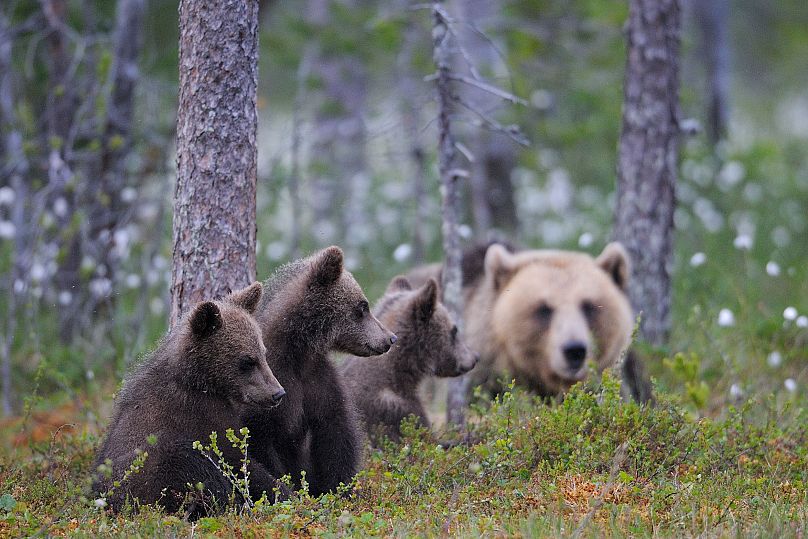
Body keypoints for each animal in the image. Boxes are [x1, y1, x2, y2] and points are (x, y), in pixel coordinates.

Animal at [93, 282, 288, 516]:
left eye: (263, 353)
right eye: (247, 361)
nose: (277, 393)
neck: (201, 382)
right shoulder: (199, 415)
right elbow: (237, 459)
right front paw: (285, 493)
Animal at [246, 247, 398, 500]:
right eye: (362, 307)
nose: (390, 338)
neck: (299, 353)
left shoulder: (318, 383)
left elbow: (336, 435)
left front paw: (339, 488)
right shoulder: (271, 386)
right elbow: (262, 444)